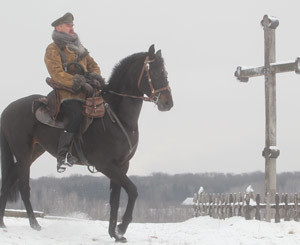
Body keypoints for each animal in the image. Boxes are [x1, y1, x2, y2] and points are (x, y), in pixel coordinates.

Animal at [0, 45, 173, 242]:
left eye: (165, 72)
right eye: (156, 72)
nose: (168, 102)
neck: (117, 116)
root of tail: (7, 110)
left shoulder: (122, 166)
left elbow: (115, 200)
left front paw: (114, 234)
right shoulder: (106, 165)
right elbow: (133, 190)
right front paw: (121, 228)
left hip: (33, 152)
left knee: (8, 181)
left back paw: (3, 223)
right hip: (23, 153)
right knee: (23, 186)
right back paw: (34, 224)